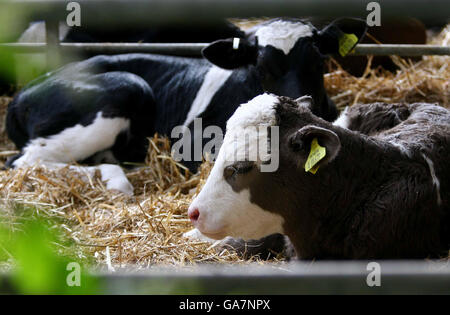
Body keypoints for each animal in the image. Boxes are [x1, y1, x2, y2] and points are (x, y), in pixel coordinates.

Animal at [6, 17, 370, 195]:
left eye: (319, 60)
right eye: (261, 66)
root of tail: (23, 93)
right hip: (127, 88)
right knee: (24, 161)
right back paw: (115, 180)